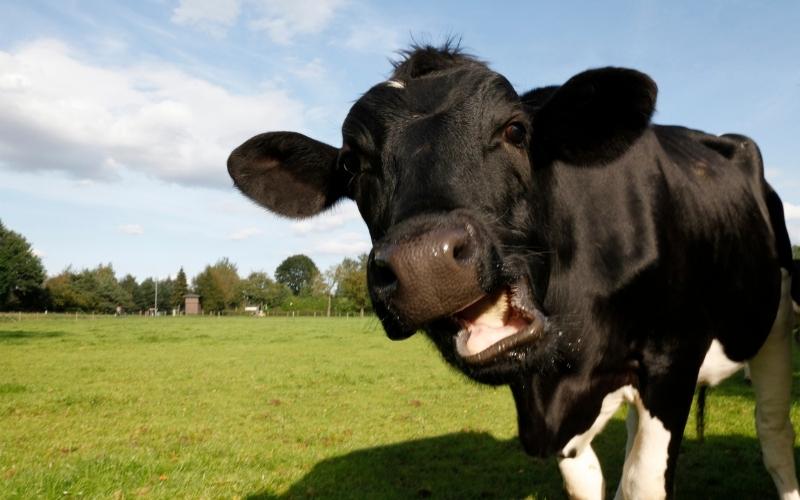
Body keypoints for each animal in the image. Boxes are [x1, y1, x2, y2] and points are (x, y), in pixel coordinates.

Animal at [228, 45, 799, 499]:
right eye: (351, 163)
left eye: (515, 130)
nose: (425, 261)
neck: (557, 381)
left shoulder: (672, 358)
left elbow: (642, 485)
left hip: (774, 320)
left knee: (773, 434)